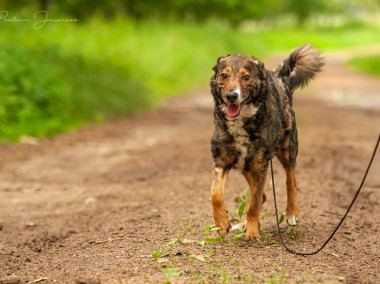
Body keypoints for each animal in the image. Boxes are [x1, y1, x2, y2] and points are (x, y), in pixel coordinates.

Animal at [209, 44, 322, 240]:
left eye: (246, 77)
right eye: (224, 75)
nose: (231, 96)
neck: (242, 121)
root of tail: (282, 79)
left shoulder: (260, 165)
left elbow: (254, 204)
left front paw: (253, 233)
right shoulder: (222, 161)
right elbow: (215, 194)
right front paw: (223, 222)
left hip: (287, 149)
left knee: (290, 180)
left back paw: (292, 212)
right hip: (246, 166)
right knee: (262, 195)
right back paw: (243, 224)